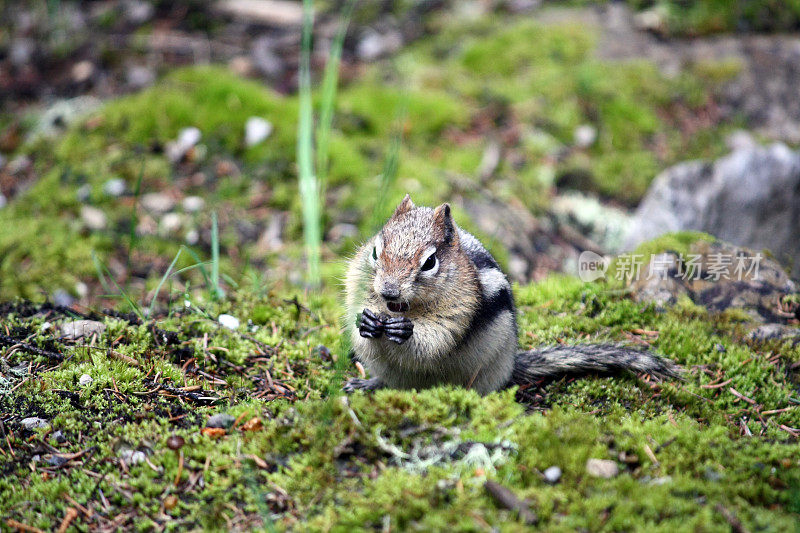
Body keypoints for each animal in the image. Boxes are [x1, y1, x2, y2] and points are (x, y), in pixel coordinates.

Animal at [344, 193, 676, 392]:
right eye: (375, 252)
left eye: (429, 262)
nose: (388, 291)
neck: (403, 308)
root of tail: (512, 364)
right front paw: (367, 322)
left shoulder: (458, 310)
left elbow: (436, 339)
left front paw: (406, 330)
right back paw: (368, 384)